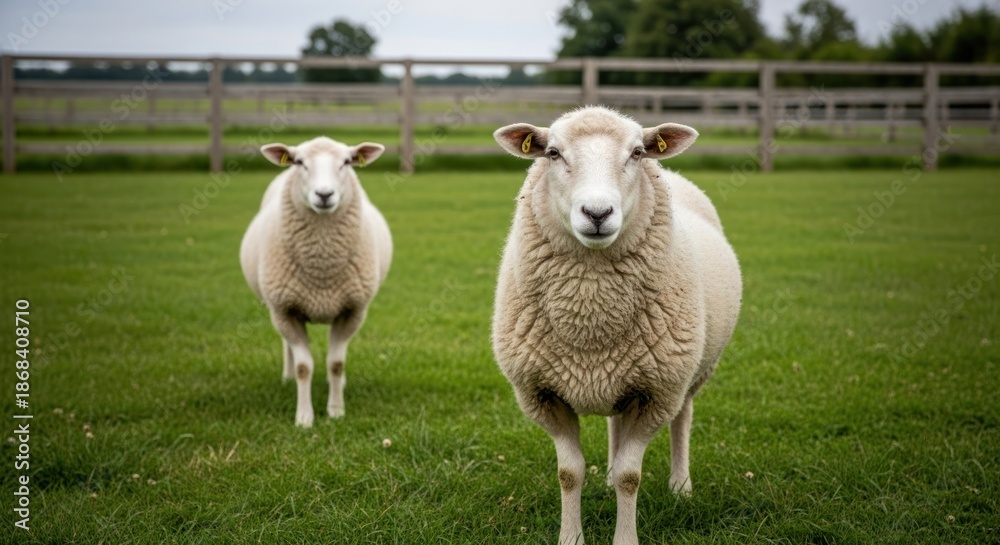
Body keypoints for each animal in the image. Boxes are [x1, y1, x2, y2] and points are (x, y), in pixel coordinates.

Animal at [240, 136, 392, 427]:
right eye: (299, 162)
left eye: (346, 162)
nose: (324, 194)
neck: (322, 268)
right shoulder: (285, 310)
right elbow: (304, 367)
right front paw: (304, 418)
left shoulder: (352, 310)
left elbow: (336, 363)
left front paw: (336, 410)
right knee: (287, 347)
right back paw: (287, 378)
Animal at [491, 106, 742, 545]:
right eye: (553, 153)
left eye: (638, 153)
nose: (597, 214)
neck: (591, 321)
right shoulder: (542, 393)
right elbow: (569, 473)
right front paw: (571, 537)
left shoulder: (657, 393)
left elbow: (631, 475)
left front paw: (625, 537)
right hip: (621, 374)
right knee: (615, 421)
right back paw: (606, 478)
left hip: (686, 375)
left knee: (683, 419)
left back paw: (681, 486)